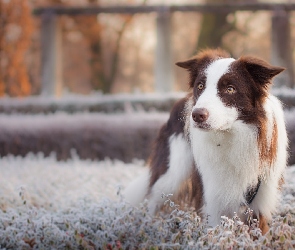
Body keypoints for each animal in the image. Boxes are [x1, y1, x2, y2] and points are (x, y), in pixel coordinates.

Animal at [124, 48, 290, 234]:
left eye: (230, 89)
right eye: (200, 86)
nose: (196, 115)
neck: (230, 136)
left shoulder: (261, 199)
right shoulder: (213, 196)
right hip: (172, 174)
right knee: (154, 199)